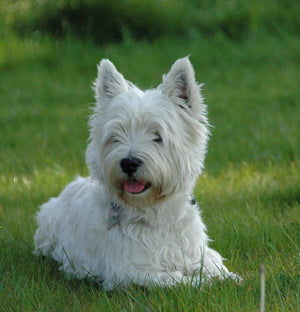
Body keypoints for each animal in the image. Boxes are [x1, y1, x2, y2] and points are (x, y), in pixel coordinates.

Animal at [33, 56, 239, 290]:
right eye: (115, 136)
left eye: (157, 136)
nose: (129, 163)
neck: (154, 213)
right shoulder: (128, 271)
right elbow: (172, 279)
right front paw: (200, 282)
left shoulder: (197, 250)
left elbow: (213, 264)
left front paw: (228, 277)